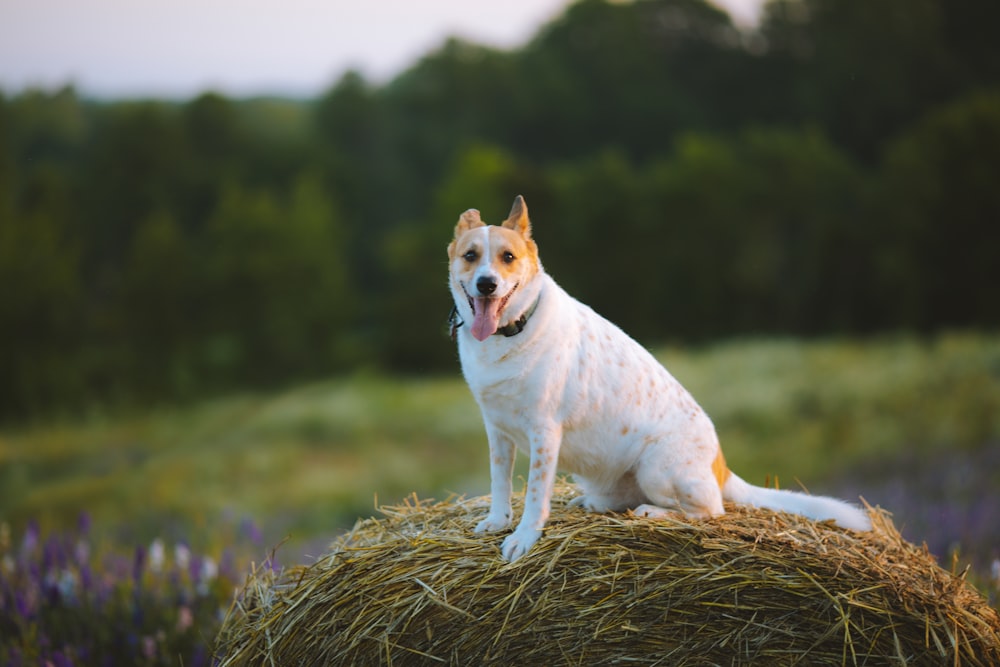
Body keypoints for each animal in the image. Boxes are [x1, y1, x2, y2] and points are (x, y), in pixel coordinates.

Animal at [450, 196, 872, 560]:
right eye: (471, 256)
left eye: (508, 258)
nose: (487, 284)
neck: (511, 331)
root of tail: (721, 465)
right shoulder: (497, 431)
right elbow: (500, 481)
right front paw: (498, 521)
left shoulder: (544, 431)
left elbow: (536, 494)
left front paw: (523, 537)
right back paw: (595, 502)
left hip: (656, 469)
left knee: (709, 511)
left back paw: (655, 513)